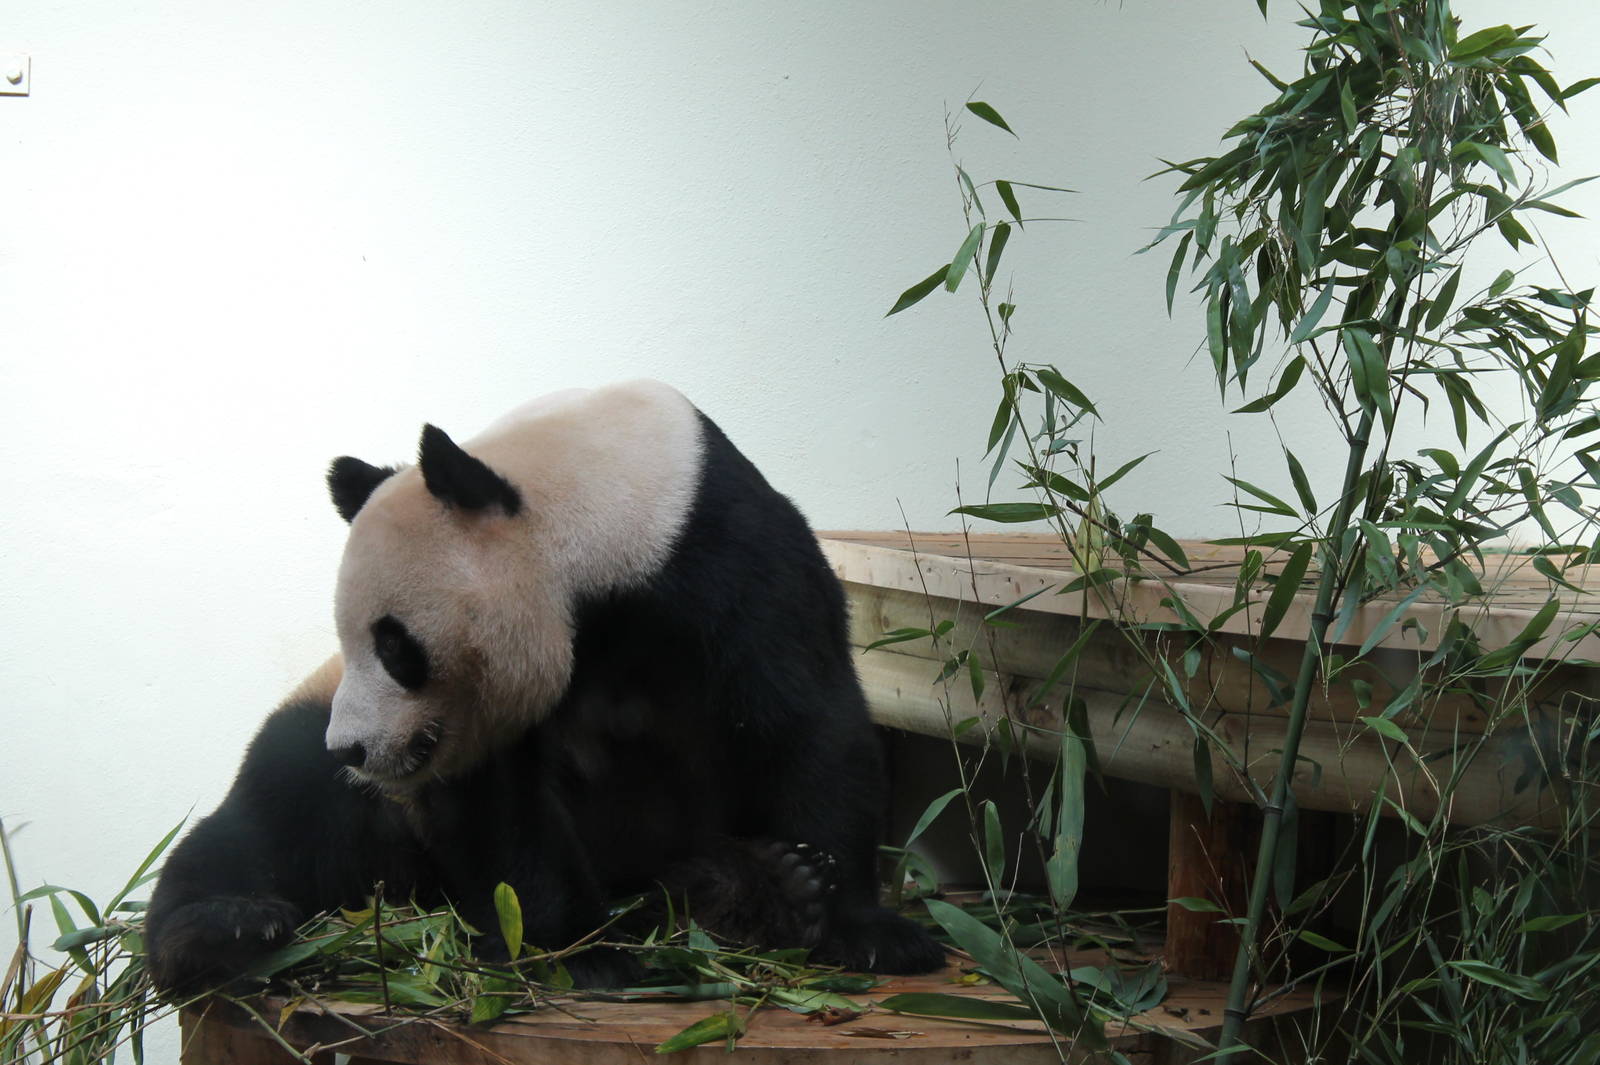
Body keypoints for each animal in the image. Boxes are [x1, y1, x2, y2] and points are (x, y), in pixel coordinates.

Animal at [145, 380, 944, 992]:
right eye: (347, 638)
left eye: (394, 644)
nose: (352, 748)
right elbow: (503, 814)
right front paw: (574, 954)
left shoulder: (730, 561)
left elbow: (806, 722)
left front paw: (862, 927)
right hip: (322, 774)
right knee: (255, 833)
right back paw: (226, 929)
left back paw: (765, 888)